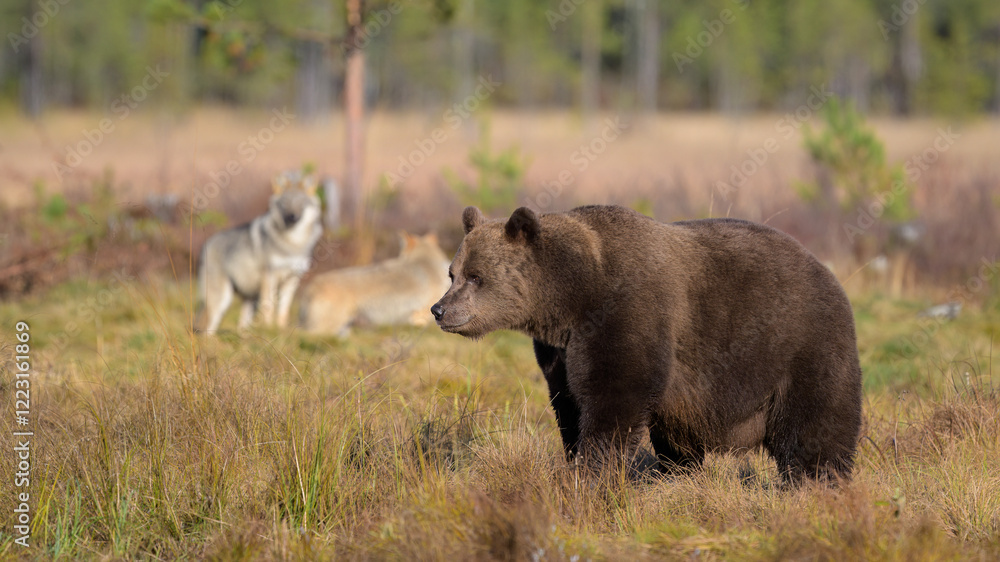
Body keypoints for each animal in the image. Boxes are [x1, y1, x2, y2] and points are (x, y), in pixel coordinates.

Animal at [196, 172, 323, 334]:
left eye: (301, 203)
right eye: (285, 203)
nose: (291, 217)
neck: (293, 243)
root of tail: (207, 242)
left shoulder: (292, 279)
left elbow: (283, 310)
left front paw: (281, 330)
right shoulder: (269, 277)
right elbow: (269, 308)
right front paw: (268, 329)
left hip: (249, 299)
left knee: (241, 324)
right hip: (222, 300)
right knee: (207, 328)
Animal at [430, 205, 863, 482]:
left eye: (475, 276)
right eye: (452, 272)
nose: (439, 309)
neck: (572, 298)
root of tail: (827, 270)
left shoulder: (628, 313)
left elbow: (614, 398)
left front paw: (593, 474)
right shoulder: (559, 351)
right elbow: (569, 402)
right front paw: (574, 459)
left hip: (799, 345)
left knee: (817, 425)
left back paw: (817, 480)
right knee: (681, 439)